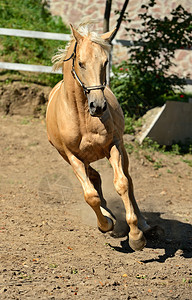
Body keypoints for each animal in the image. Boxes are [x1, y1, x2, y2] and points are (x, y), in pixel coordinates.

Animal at [45, 24, 151, 251]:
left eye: (105, 62)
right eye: (81, 63)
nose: (99, 106)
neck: (83, 116)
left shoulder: (113, 146)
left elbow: (122, 184)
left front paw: (136, 236)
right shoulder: (73, 156)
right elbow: (91, 195)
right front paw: (106, 223)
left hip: (122, 151)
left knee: (128, 180)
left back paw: (143, 223)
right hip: (76, 158)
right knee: (95, 178)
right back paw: (108, 214)